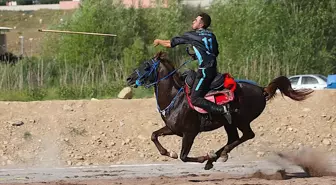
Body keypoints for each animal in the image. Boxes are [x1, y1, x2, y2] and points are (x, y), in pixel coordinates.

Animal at [124, 51, 314, 170]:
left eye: (146, 65)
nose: (129, 78)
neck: (174, 97)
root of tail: (261, 89)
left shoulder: (189, 133)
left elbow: (184, 156)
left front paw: (203, 157)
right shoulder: (173, 129)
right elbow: (154, 135)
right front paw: (169, 153)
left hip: (241, 120)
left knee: (247, 135)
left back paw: (217, 155)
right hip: (229, 123)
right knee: (235, 138)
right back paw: (217, 156)